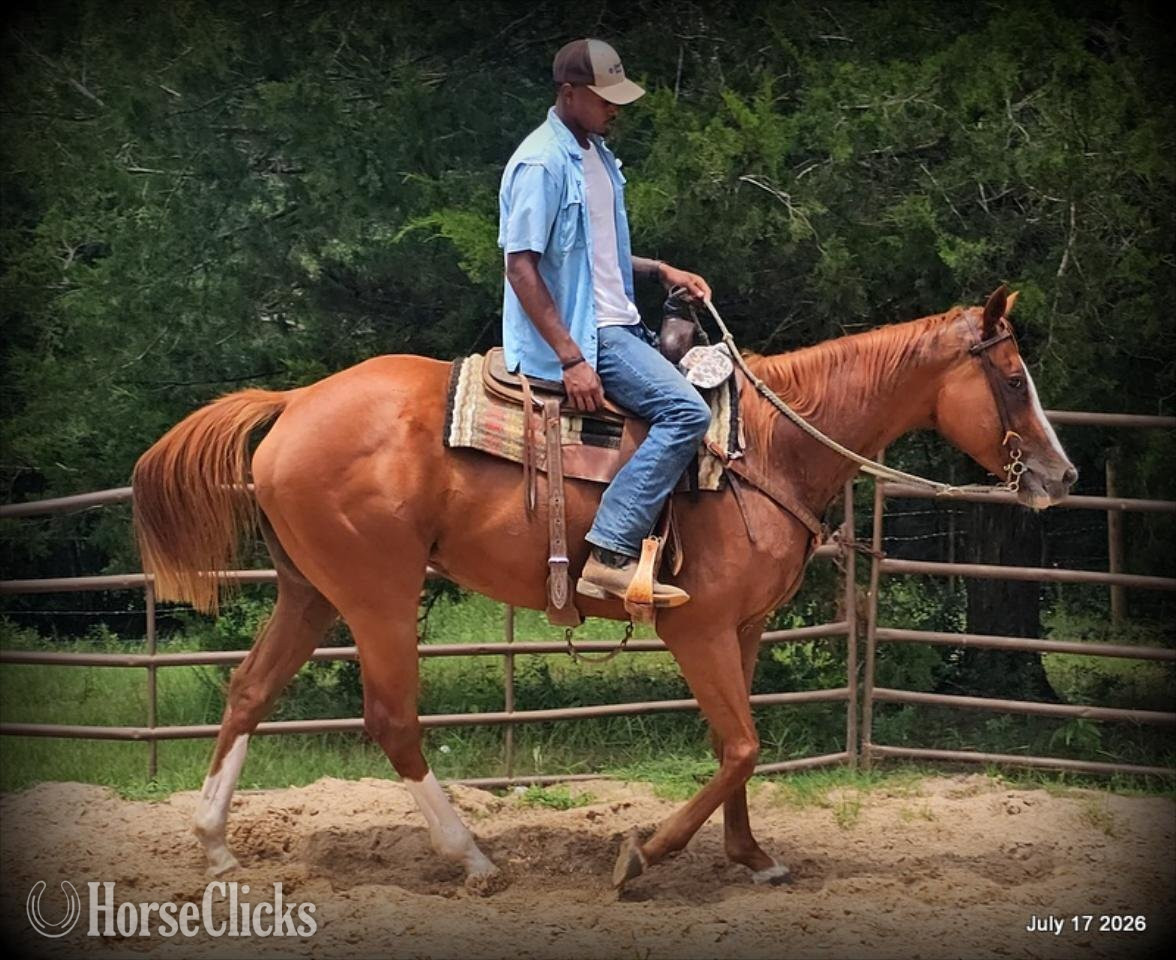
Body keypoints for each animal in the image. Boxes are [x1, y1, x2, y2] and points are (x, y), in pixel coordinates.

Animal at [131, 285, 1076, 894]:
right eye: (1014, 379)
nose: (1061, 475)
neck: (763, 447)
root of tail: (294, 403)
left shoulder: (743, 631)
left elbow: (740, 749)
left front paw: (751, 857)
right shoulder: (697, 631)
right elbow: (743, 747)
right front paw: (643, 857)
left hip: (311, 593)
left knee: (250, 692)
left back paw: (215, 847)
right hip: (377, 597)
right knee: (393, 722)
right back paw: (472, 859)